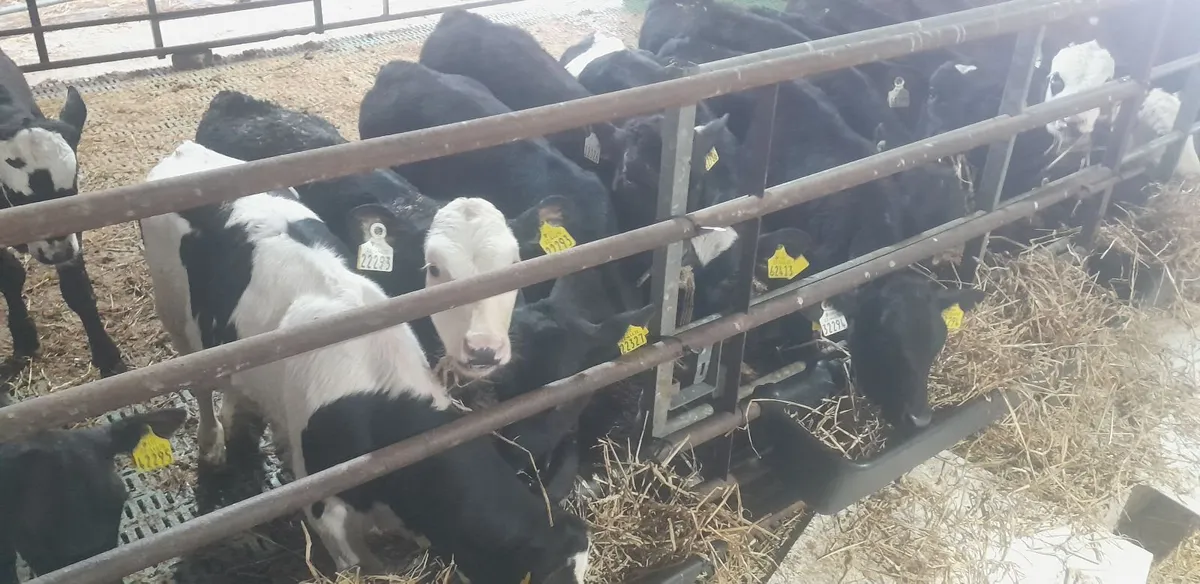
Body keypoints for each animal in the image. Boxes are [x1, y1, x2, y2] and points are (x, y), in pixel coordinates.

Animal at [0, 48, 125, 383]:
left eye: (72, 185)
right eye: (16, 194)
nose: (57, 252)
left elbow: (77, 289)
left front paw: (107, 356)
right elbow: (10, 276)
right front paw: (24, 337)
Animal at [139, 141, 590, 583]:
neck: (378, 404)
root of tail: (188, 152)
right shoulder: (328, 516)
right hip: (175, 315)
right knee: (200, 385)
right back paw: (212, 443)